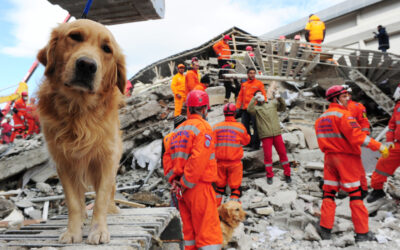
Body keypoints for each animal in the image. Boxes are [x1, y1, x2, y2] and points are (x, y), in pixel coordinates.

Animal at [37, 19, 126, 244]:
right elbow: (74, 202)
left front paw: (99, 230)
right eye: (75, 37)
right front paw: (72, 232)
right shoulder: (64, 162)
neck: (79, 112)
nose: (86, 65)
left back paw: (113, 209)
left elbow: (101, 198)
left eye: (107, 49)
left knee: (111, 192)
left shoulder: (106, 160)